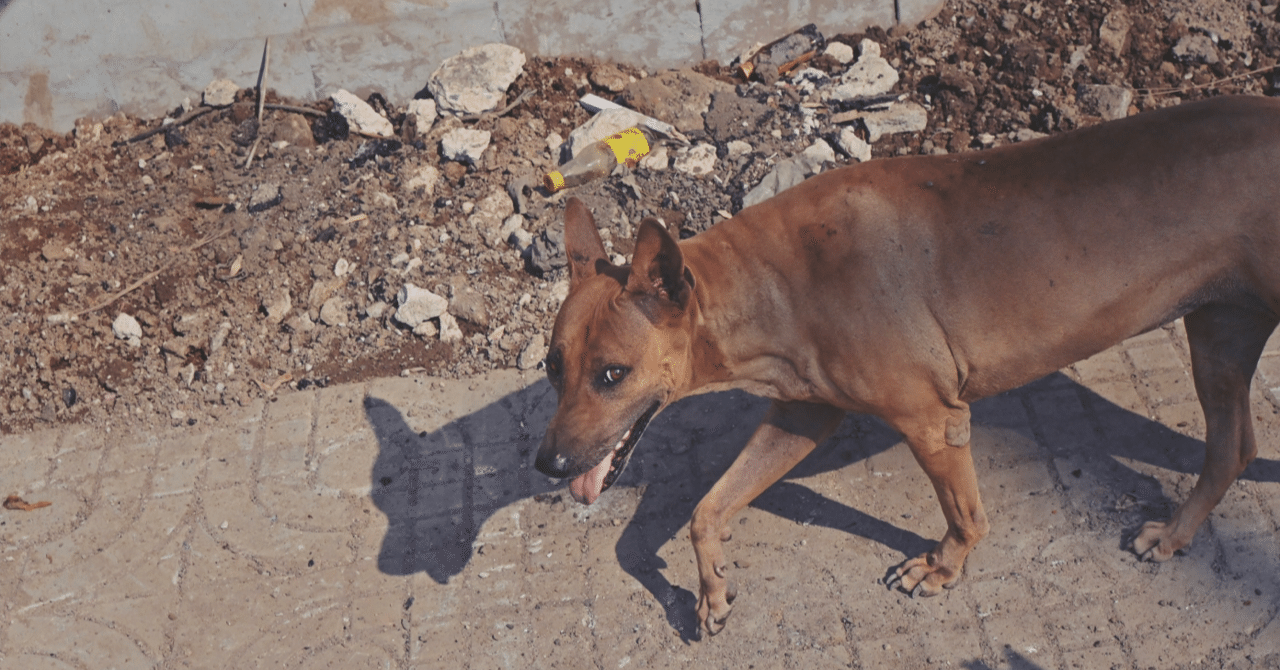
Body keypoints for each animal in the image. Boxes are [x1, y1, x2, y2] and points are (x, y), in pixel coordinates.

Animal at [529, 94, 1280, 635]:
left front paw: (941, 570)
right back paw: (1178, 535)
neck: (764, 284)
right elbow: (706, 508)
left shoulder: (933, 421)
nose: (550, 466)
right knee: (1233, 448)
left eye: (612, 374)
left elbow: (967, 516)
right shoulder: (802, 415)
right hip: (1220, 331)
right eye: (551, 367)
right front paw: (711, 589)